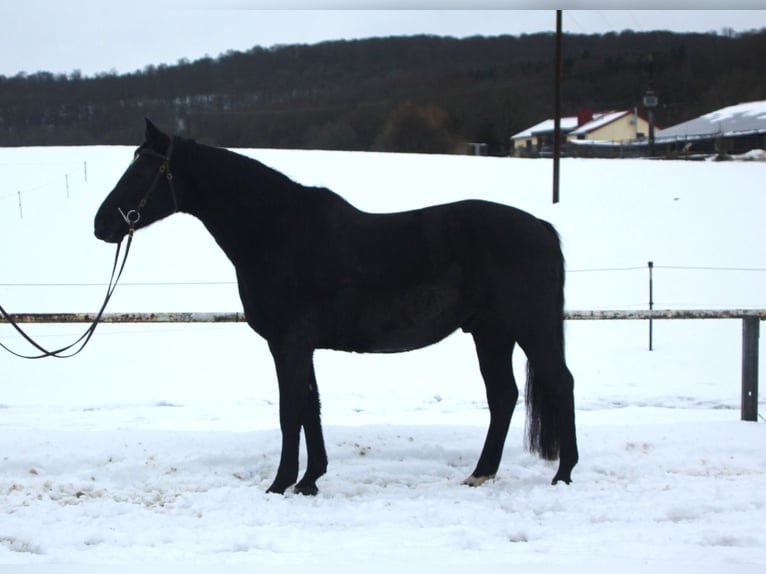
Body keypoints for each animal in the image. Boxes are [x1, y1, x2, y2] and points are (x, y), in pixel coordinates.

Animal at [94, 119, 578, 495]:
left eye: (144, 169)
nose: (101, 224)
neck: (277, 231)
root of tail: (542, 228)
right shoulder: (298, 347)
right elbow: (311, 407)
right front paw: (310, 480)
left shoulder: (288, 345)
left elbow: (292, 411)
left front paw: (281, 483)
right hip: (491, 333)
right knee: (504, 396)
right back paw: (481, 474)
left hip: (530, 327)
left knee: (559, 383)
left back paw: (563, 474)